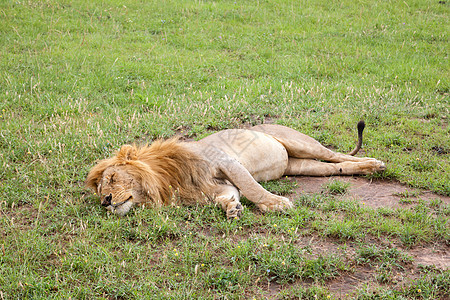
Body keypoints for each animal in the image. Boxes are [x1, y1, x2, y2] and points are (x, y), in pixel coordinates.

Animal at [86, 121, 384, 218]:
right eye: (99, 191)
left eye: (112, 177)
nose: (105, 202)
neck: (165, 179)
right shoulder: (214, 186)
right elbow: (230, 194)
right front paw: (232, 208)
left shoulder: (226, 161)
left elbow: (252, 188)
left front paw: (276, 204)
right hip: (302, 165)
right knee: (337, 167)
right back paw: (365, 170)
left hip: (304, 144)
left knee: (337, 154)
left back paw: (375, 164)